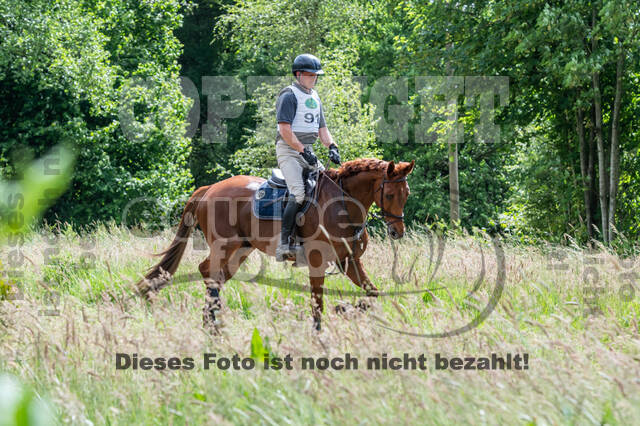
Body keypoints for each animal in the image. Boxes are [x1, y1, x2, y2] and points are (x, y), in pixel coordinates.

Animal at [135, 158, 415, 331]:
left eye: (406, 194)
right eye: (390, 194)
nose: (397, 231)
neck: (342, 205)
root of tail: (210, 188)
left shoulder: (349, 261)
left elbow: (372, 293)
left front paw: (345, 308)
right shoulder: (317, 262)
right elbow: (317, 302)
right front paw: (319, 333)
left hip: (241, 249)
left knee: (214, 275)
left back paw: (211, 322)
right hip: (224, 246)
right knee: (209, 272)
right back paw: (212, 323)